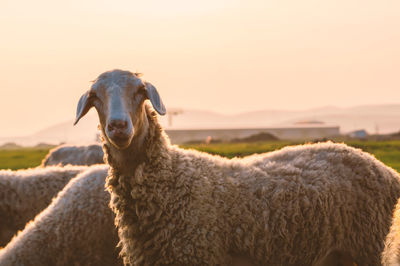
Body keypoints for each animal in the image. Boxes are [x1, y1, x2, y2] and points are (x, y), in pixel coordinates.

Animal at [73, 69, 400, 266]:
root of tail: (384, 169)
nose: (118, 126)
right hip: (338, 254)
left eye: (140, 91)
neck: (172, 177)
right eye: (95, 97)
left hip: (370, 246)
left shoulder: (195, 252)